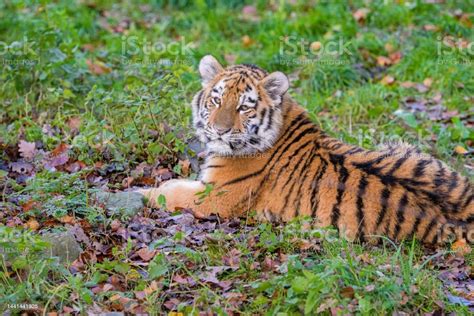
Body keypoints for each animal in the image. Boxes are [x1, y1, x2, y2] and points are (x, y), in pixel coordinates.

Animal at [138, 55, 474, 244]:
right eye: (217, 100)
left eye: (244, 107)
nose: (219, 130)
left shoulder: (215, 197)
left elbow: (169, 193)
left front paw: (140, 192)